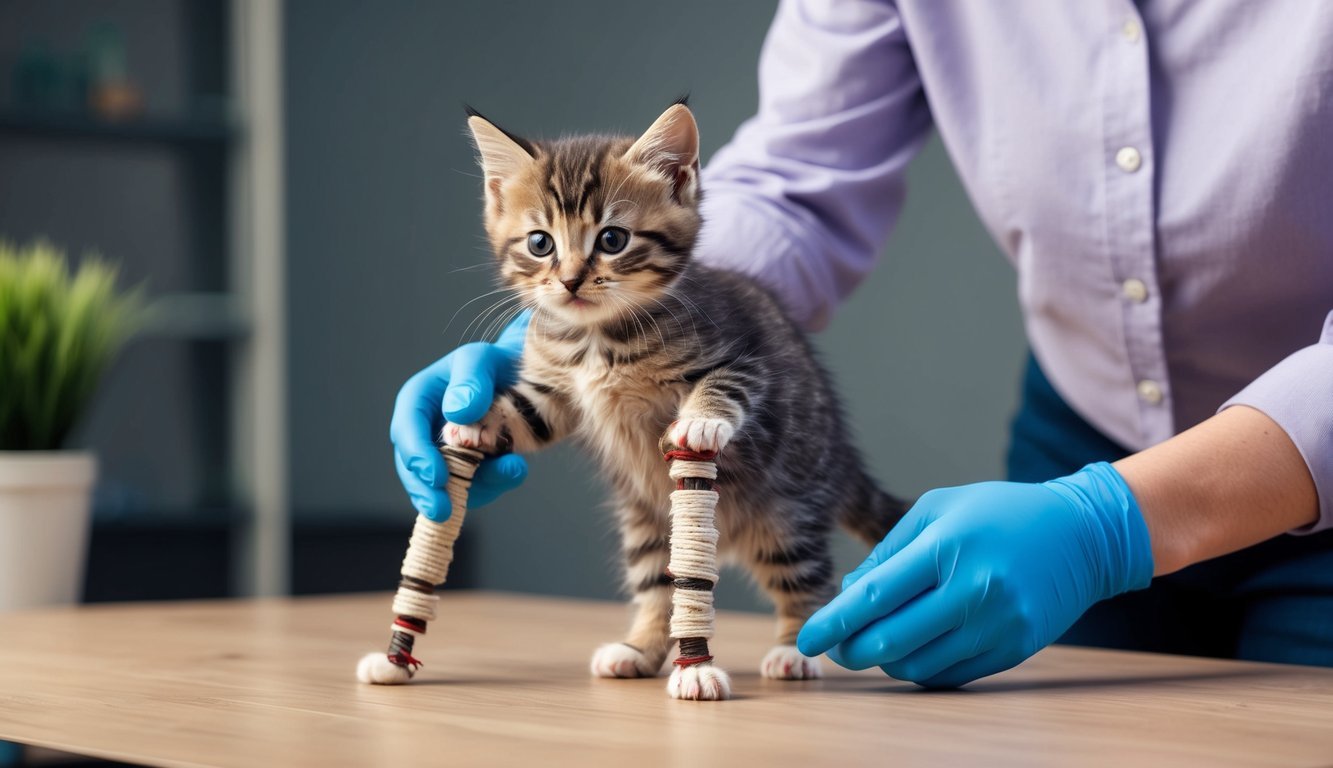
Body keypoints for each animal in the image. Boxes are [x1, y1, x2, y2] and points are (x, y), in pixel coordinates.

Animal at [445, 102, 906, 682]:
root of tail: (841, 458)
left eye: (612, 240)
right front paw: (471, 421)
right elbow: (523, 412)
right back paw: (639, 648)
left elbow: (724, 385)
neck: (596, 339)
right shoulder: (553, 392)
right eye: (540, 243)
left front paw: (702, 420)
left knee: (807, 579)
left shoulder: (742, 356)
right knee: (658, 583)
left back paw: (792, 652)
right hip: (648, 519)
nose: (570, 280)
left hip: (787, 511)